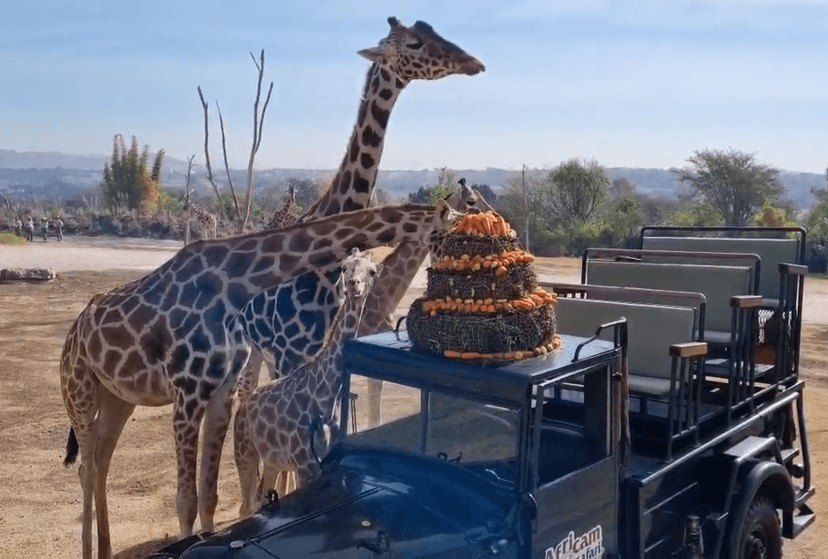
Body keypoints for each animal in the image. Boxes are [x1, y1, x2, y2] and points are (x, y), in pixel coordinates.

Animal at [234, 249, 380, 516]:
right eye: (344, 268)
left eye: (372, 271)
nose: (353, 285)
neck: (324, 393)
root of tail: (243, 408)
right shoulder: (303, 466)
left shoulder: (325, 465)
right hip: (245, 453)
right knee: (247, 507)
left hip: (271, 462)